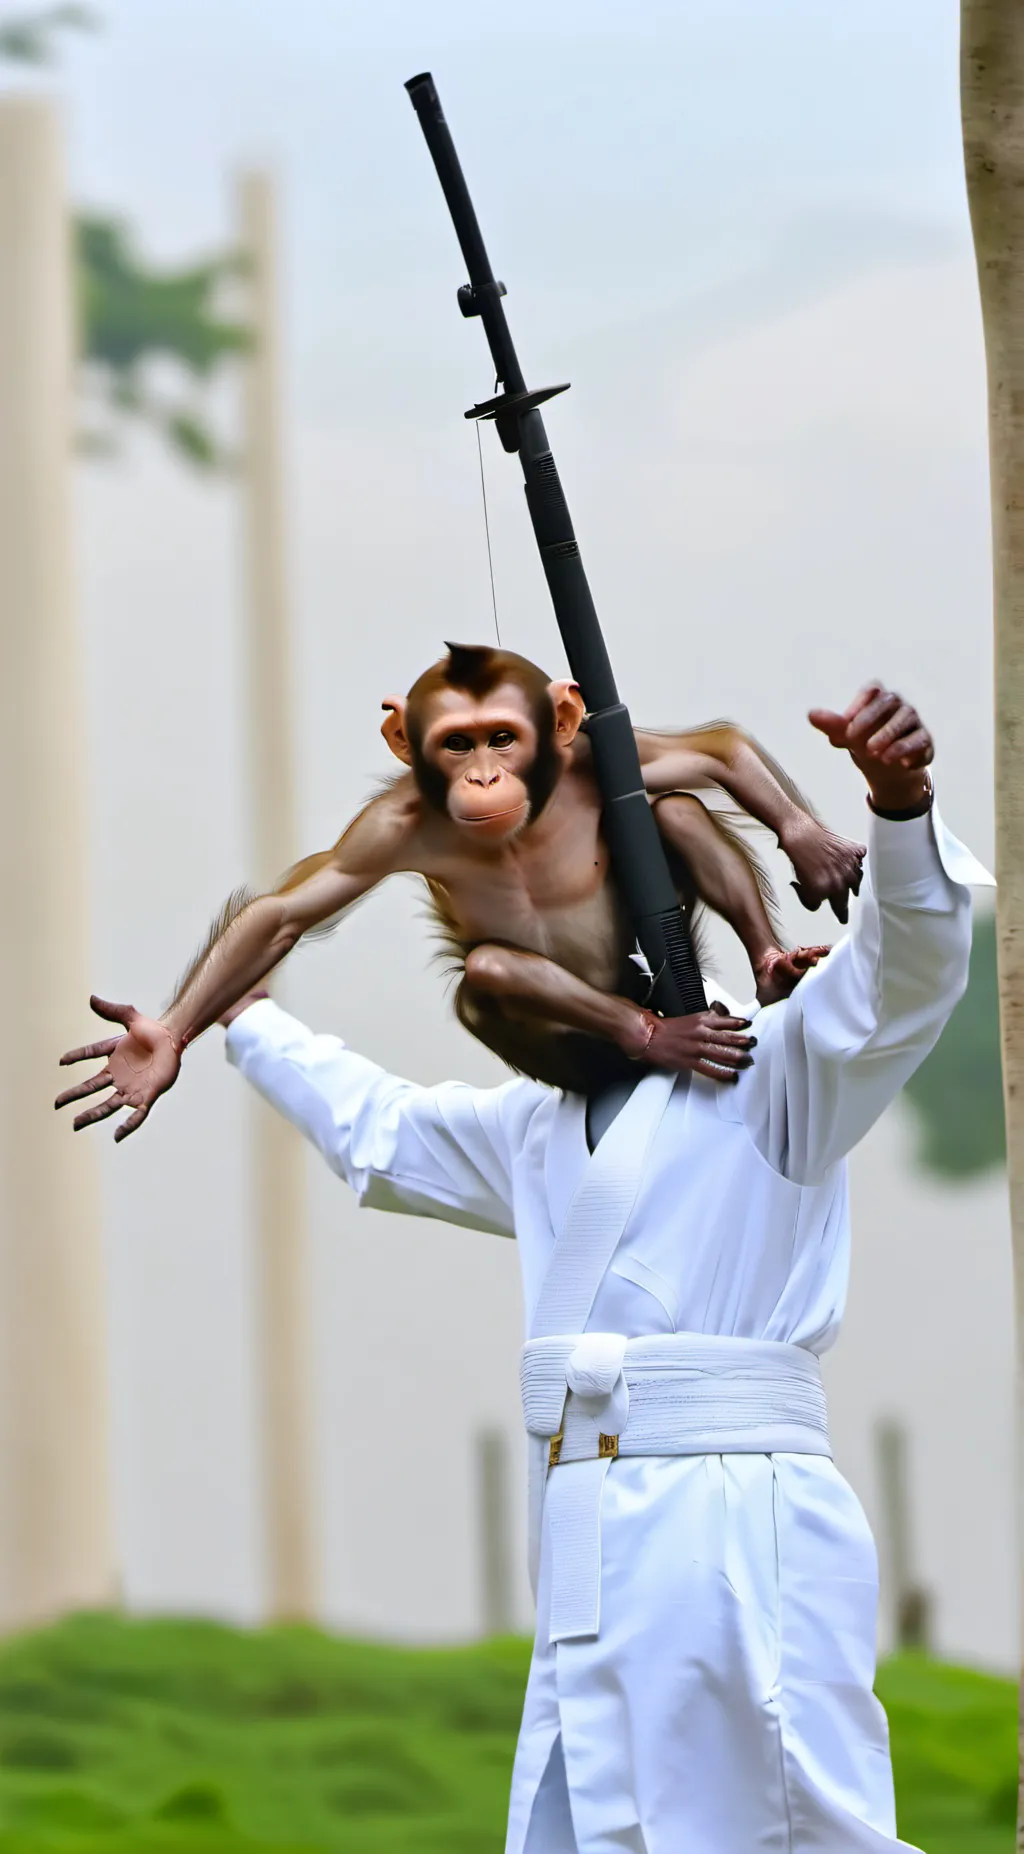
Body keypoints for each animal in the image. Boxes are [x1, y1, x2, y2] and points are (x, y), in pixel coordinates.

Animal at [56, 643, 870, 1137]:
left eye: (501, 736)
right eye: (457, 742)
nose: (482, 776)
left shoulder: (600, 756)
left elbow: (710, 755)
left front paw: (814, 846)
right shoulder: (383, 831)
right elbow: (282, 916)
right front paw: (151, 1051)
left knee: (674, 810)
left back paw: (772, 969)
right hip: (600, 1030)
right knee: (488, 973)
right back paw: (652, 1046)